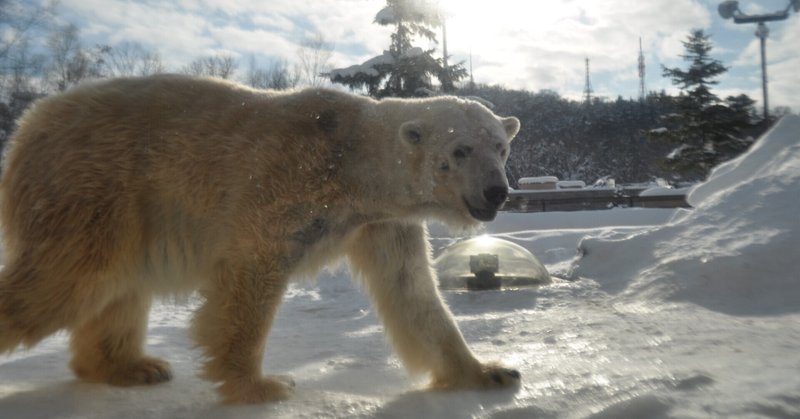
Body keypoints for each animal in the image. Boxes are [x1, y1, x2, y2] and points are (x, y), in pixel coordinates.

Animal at [0, 74, 520, 404]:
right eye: (460, 150)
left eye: (501, 146)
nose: (497, 191)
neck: (351, 159)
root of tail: (29, 123)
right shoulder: (286, 179)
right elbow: (252, 269)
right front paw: (261, 386)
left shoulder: (381, 222)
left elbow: (412, 290)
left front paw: (491, 372)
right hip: (93, 185)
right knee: (63, 281)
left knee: (117, 289)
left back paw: (134, 367)